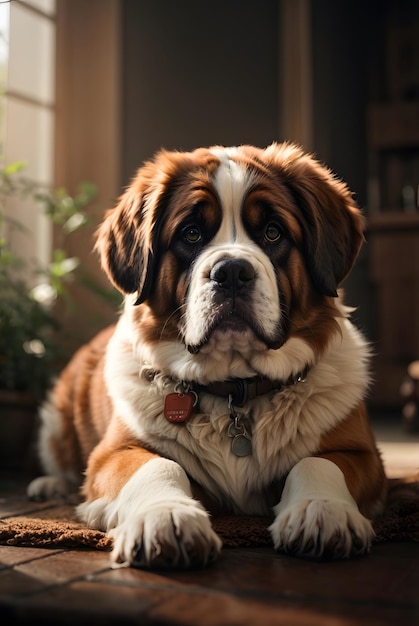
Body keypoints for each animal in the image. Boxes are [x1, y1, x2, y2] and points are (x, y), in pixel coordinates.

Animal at [27, 144, 388, 568]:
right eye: (191, 233)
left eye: (273, 232)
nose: (231, 271)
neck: (235, 395)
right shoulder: (114, 453)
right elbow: (158, 465)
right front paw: (166, 517)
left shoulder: (364, 456)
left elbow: (318, 462)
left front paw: (321, 510)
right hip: (57, 418)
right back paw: (49, 485)